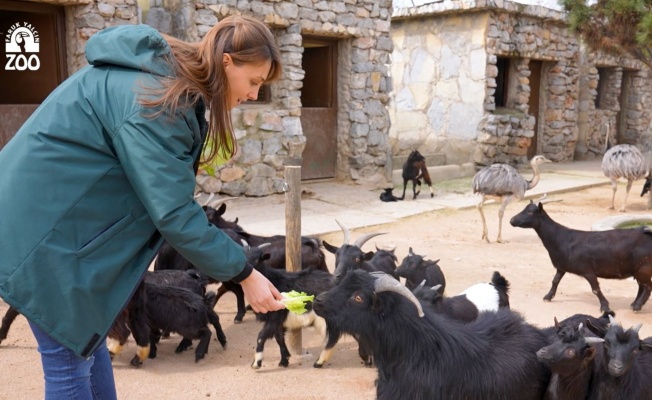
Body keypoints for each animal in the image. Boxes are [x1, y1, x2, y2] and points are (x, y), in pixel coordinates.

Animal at [510, 203, 652, 312]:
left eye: (530, 212)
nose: (511, 220)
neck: (561, 239)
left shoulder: (588, 270)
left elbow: (595, 289)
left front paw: (605, 307)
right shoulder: (561, 267)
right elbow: (555, 281)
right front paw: (548, 296)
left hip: (644, 268)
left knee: (647, 287)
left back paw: (637, 306)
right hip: (638, 270)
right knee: (642, 286)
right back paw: (634, 304)